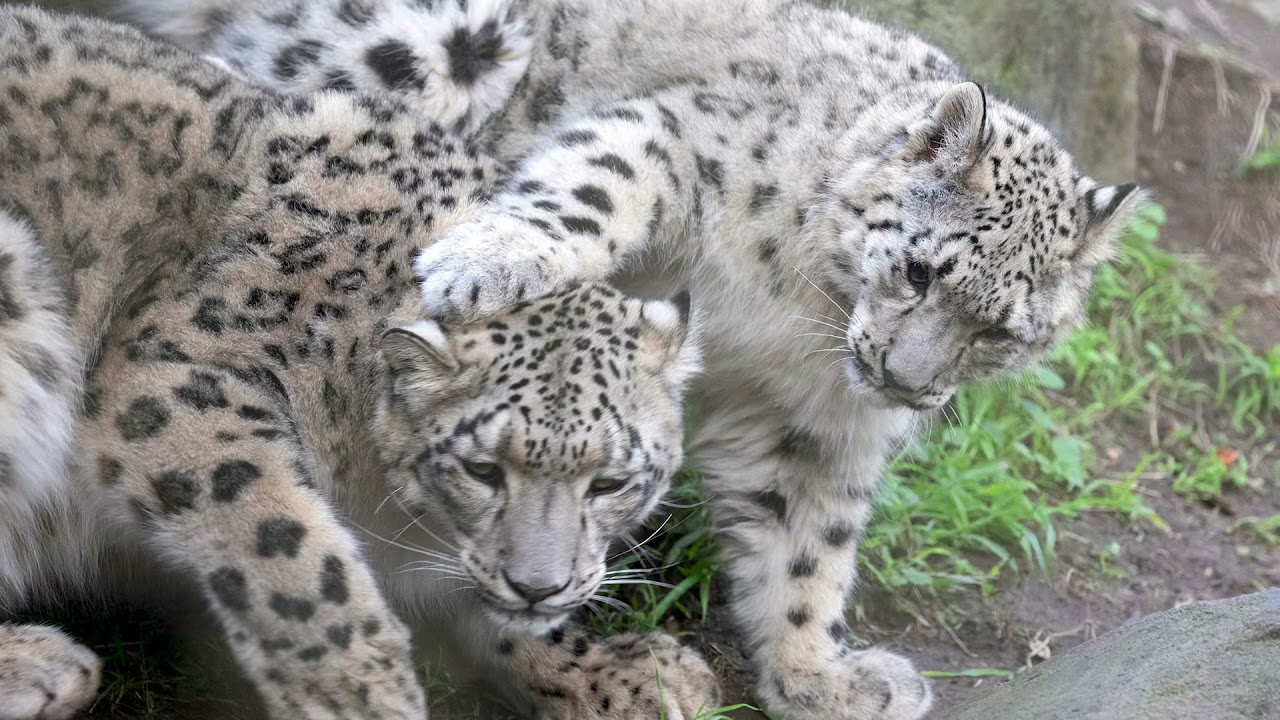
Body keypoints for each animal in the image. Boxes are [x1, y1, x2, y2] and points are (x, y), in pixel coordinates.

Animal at [0, 7, 717, 719]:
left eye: (610, 483)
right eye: (482, 470)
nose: (539, 587)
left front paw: (629, 676)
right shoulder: (179, 377)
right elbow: (289, 549)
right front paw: (368, 695)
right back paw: (43, 665)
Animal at [111, 0, 1146, 717]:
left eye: (1000, 331)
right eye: (923, 271)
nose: (908, 382)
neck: (797, 317)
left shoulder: (811, 427)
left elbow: (805, 551)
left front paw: (818, 676)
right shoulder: (680, 141)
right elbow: (591, 189)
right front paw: (481, 261)